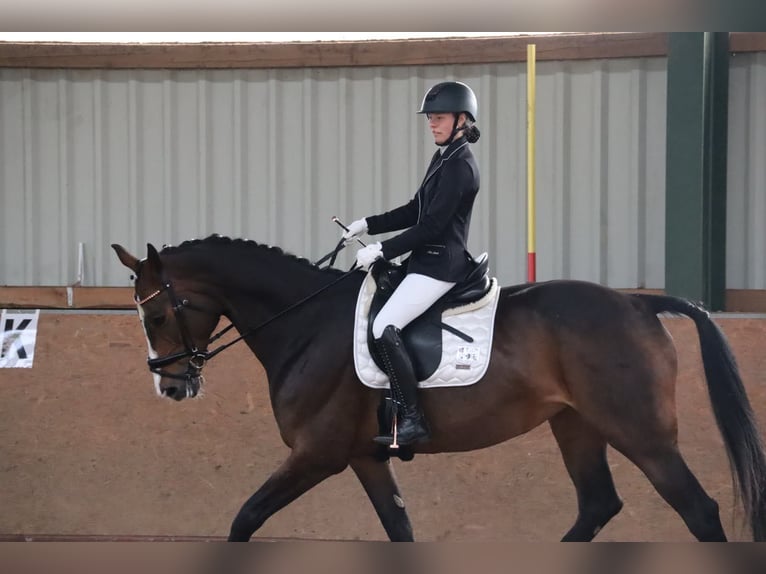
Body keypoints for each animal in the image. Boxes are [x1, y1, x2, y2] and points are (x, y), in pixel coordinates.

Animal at [111, 235, 766, 542]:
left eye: (159, 314)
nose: (172, 386)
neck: (304, 323)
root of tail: (638, 304)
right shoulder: (364, 458)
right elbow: (400, 530)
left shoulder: (316, 455)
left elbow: (244, 519)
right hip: (576, 425)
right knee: (598, 505)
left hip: (642, 434)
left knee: (699, 512)